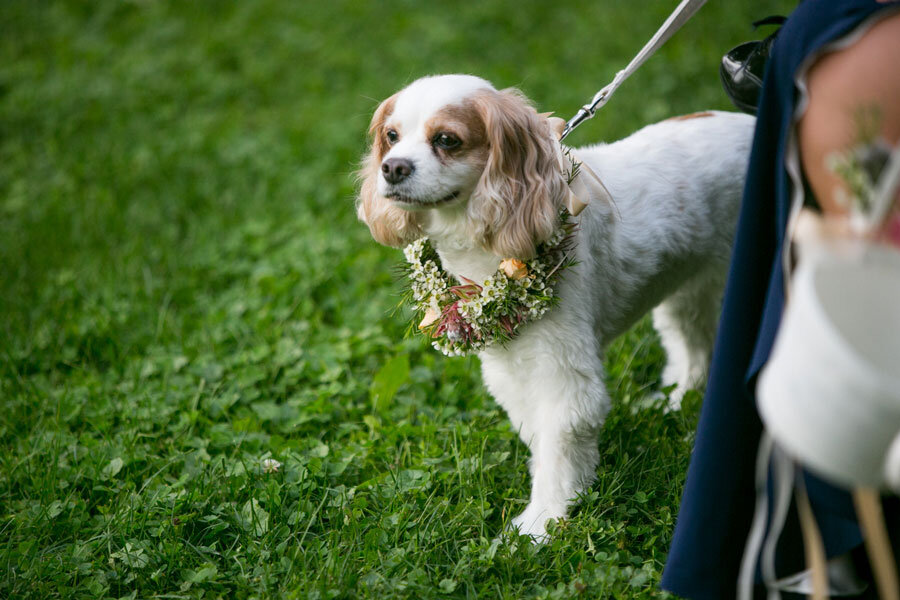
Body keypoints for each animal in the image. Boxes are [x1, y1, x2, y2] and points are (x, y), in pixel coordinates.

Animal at [356, 74, 756, 540]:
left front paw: (540, 524)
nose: (392, 167)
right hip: (688, 289)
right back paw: (675, 401)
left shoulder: (564, 374)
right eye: (391, 137)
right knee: (692, 348)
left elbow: (560, 445)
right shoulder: (510, 365)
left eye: (446, 140)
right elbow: (538, 435)